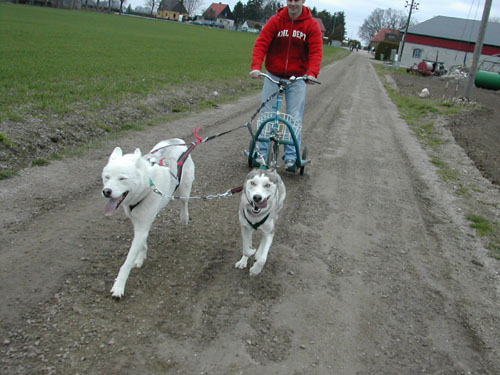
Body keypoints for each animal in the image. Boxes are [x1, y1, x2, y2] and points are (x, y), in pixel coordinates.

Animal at [101, 139, 193, 300]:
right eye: (107, 177)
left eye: (122, 178)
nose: (106, 191)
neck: (147, 186)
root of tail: (179, 141)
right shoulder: (137, 223)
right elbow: (141, 243)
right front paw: (140, 257)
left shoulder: (142, 225)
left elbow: (126, 262)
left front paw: (119, 286)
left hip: (185, 188)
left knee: (184, 202)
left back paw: (184, 216)